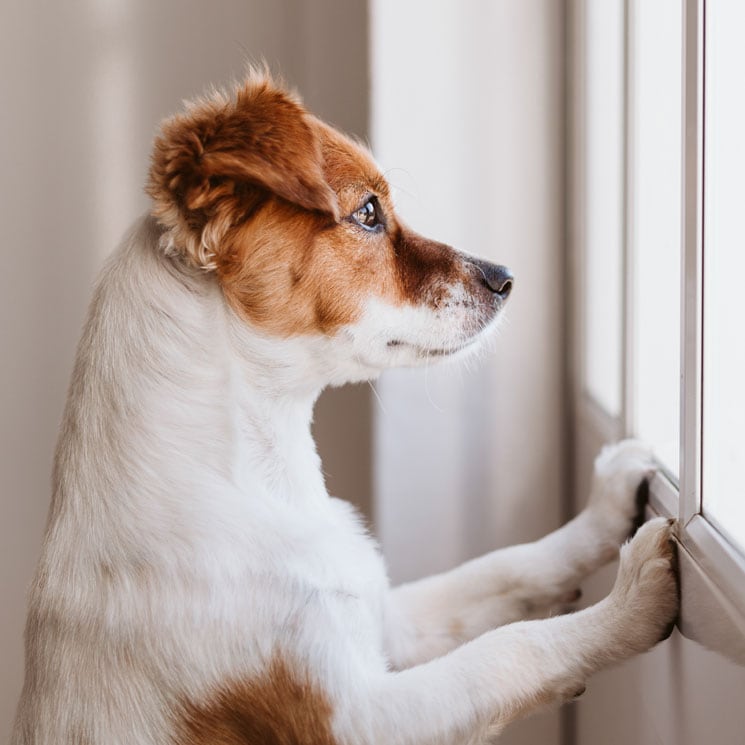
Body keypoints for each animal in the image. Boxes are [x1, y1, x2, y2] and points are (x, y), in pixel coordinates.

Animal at [10, 71, 680, 744]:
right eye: (367, 213)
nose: (506, 277)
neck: (263, 480)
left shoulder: (387, 620)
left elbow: (507, 568)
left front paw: (605, 509)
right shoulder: (357, 718)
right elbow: (510, 650)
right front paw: (630, 601)